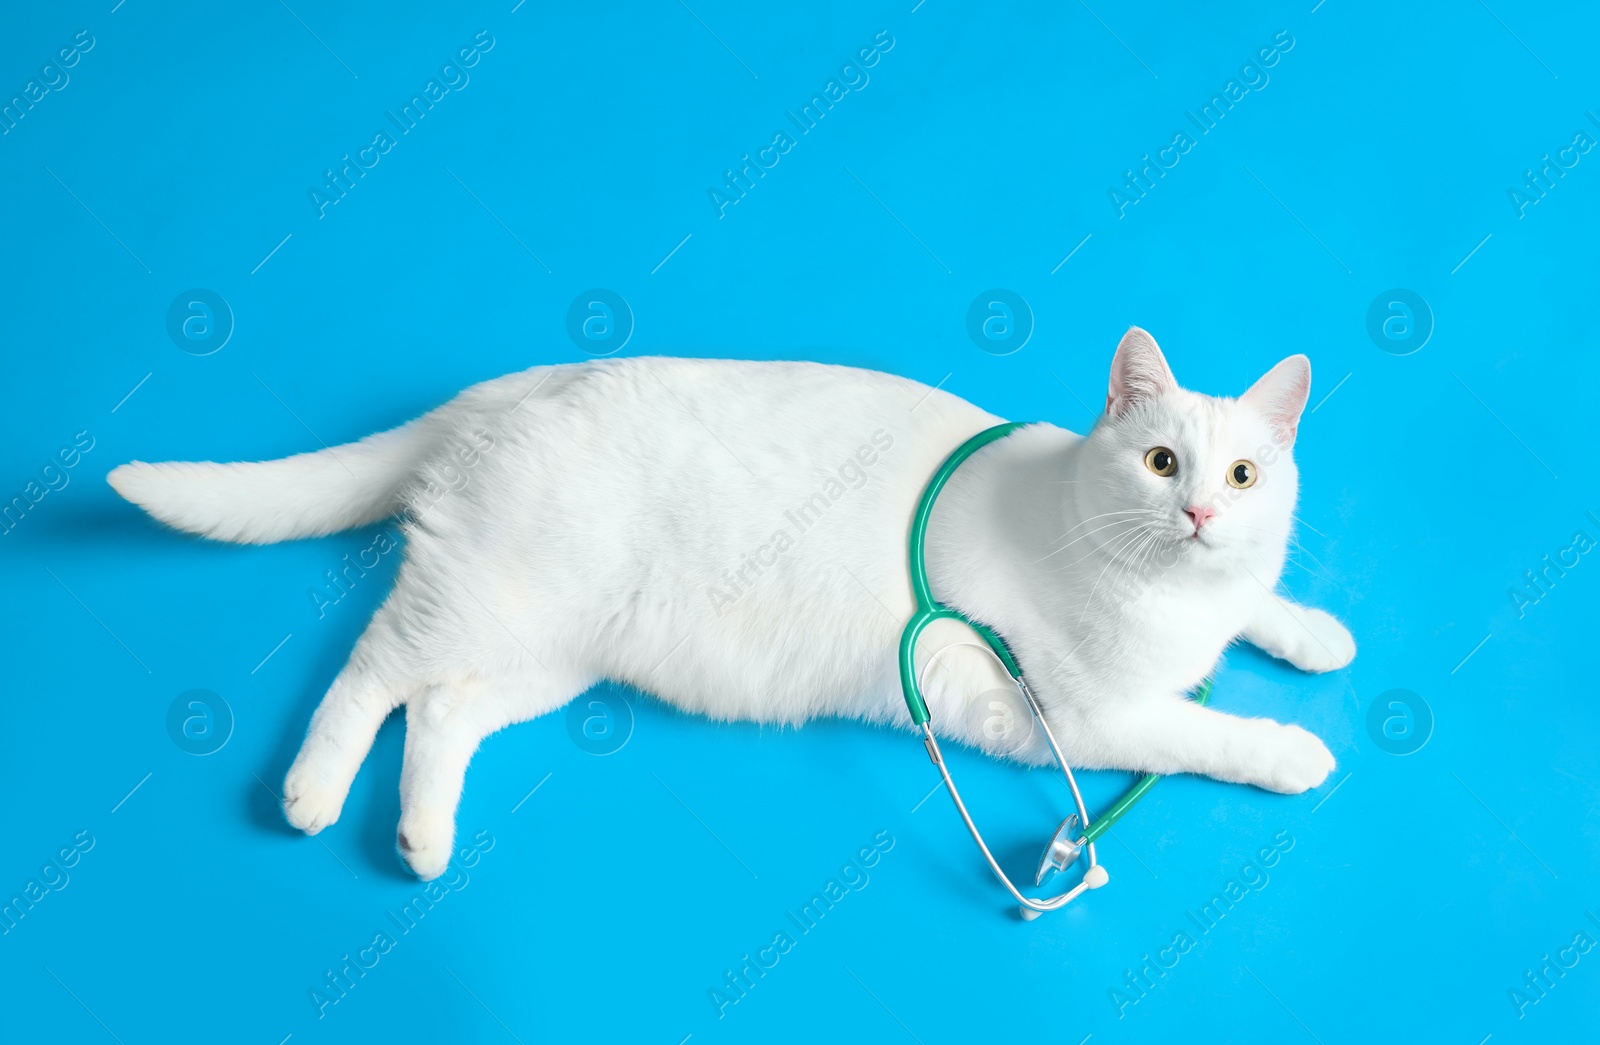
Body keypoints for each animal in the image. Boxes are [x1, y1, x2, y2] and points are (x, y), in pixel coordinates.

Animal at [106, 328, 1350, 883]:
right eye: (1159, 462)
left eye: (1244, 477)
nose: (1199, 513)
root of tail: (527, 381)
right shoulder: (1089, 717)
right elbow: (1199, 731)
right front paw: (1292, 749)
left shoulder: (1211, 603)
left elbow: (1253, 604)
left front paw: (1311, 631)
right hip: (479, 605)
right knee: (367, 673)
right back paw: (312, 794)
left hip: (543, 650)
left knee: (440, 712)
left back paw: (420, 838)